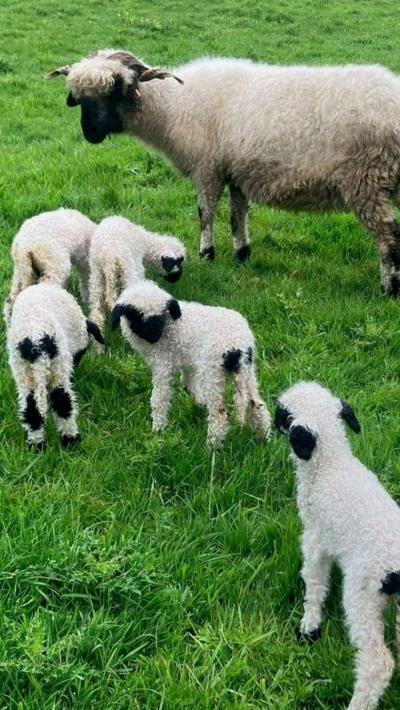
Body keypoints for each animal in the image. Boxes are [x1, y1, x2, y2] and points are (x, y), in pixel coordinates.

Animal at [6, 283, 104, 449]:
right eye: (81, 353)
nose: (75, 369)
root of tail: (36, 342)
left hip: (22, 369)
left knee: (31, 407)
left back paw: (36, 446)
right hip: (58, 364)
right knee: (63, 401)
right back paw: (71, 441)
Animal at [48, 51, 400, 295]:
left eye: (117, 88)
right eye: (79, 99)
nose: (90, 134)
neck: (173, 107)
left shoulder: (208, 168)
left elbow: (205, 213)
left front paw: (207, 254)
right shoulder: (236, 172)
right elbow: (236, 215)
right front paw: (241, 254)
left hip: (367, 180)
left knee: (388, 238)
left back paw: (388, 288)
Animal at [110, 279, 271, 447]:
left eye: (160, 317)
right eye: (138, 318)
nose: (155, 337)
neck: (169, 326)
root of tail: (239, 347)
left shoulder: (163, 364)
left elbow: (160, 398)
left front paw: (158, 430)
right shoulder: (187, 363)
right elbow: (187, 384)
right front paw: (200, 402)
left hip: (213, 372)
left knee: (220, 414)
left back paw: (212, 447)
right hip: (248, 371)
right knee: (257, 404)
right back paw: (263, 438)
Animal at [275, 381, 400, 710]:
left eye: (284, 413)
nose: (274, 420)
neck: (332, 465)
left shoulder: (316, 538)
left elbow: (315, 582)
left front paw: (309, 625)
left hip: (362, 594)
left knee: (378, 662)